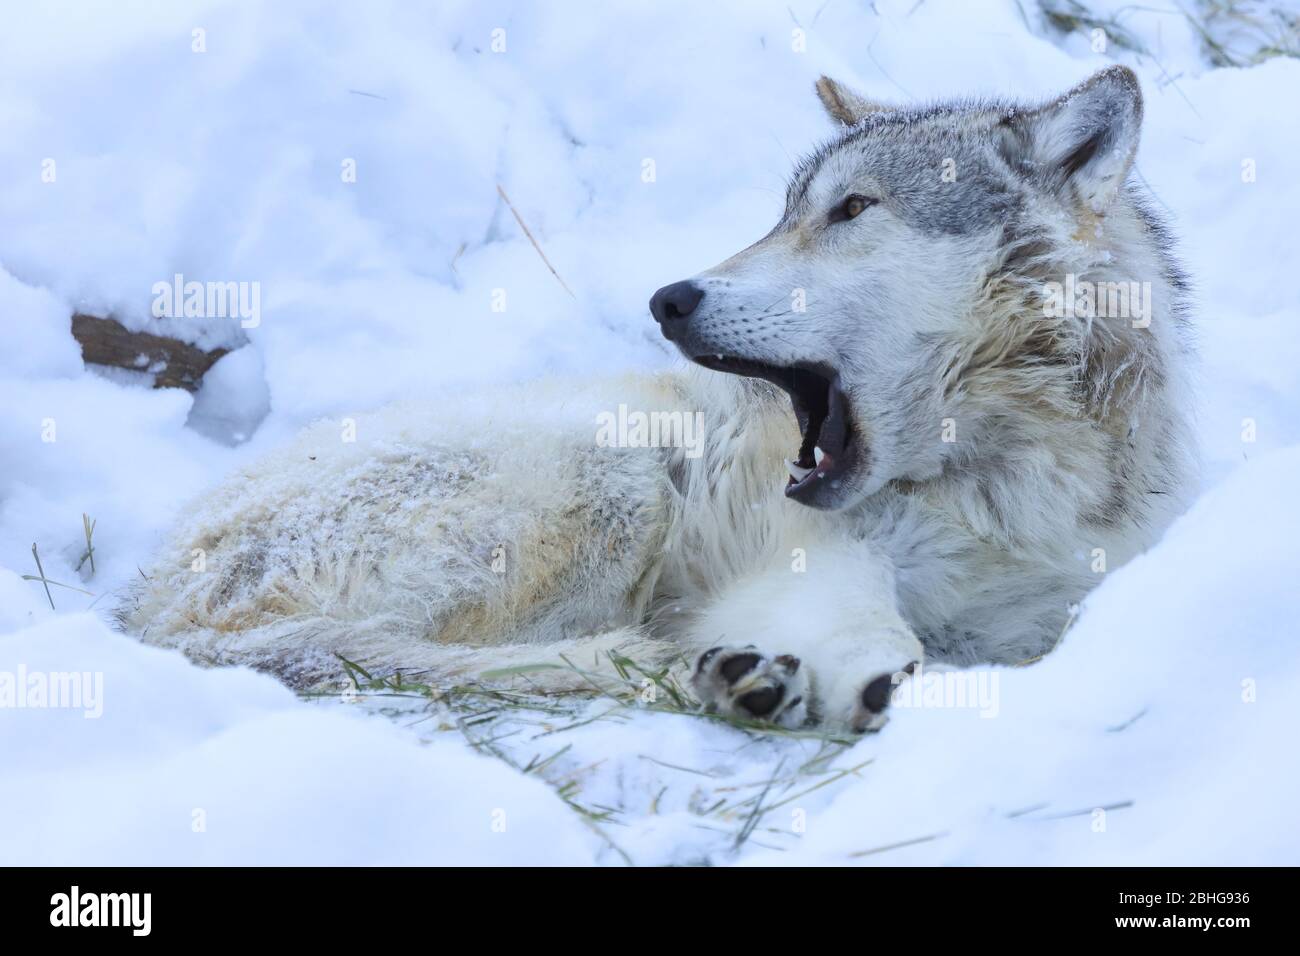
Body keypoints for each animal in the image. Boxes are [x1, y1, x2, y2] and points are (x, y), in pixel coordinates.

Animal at [121, 66, 1194, 731]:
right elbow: (878, 630)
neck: (998, 484)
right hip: (618, 479)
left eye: (852, 210)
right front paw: (875, 684)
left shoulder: (1044, 615)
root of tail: (146, 617)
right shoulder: (812, 557)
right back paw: (718, 673)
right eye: (784, 214)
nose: (669, 299)